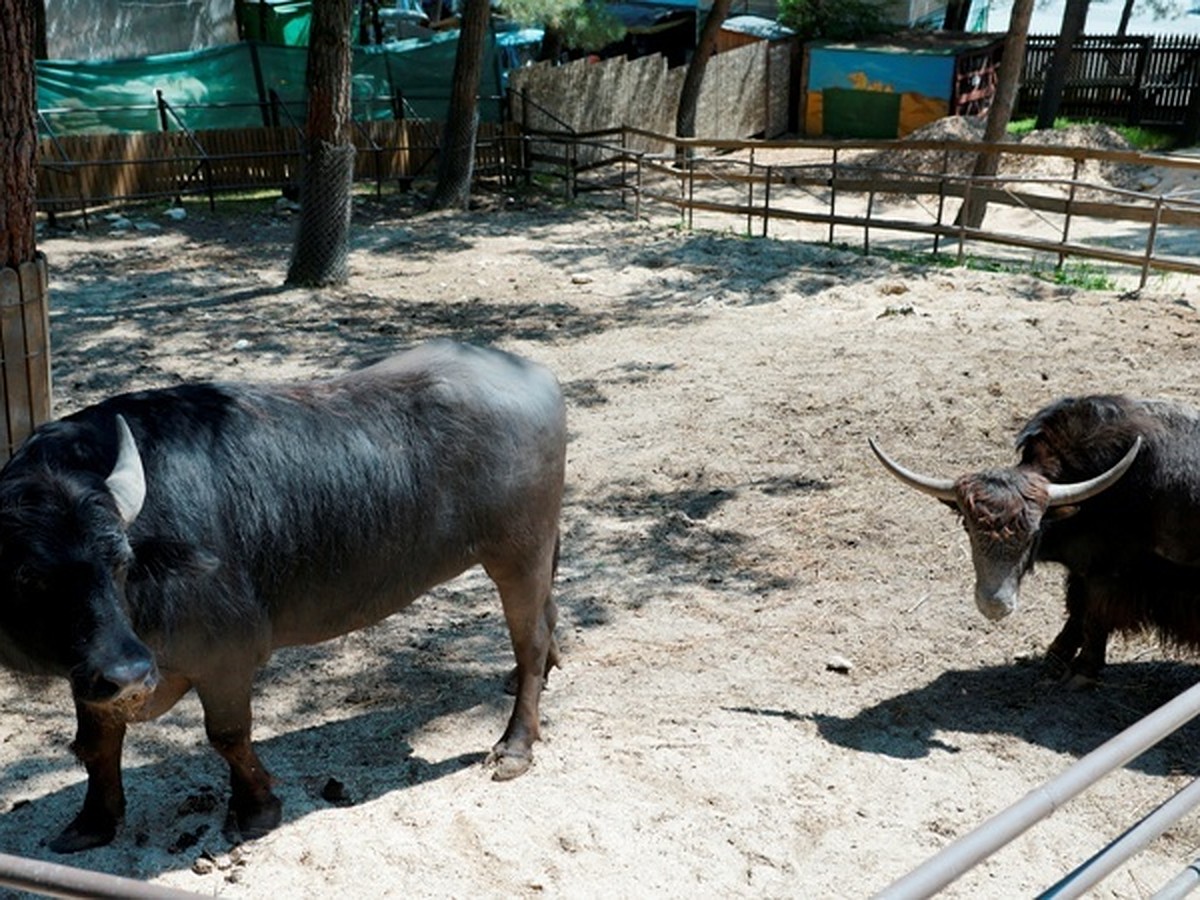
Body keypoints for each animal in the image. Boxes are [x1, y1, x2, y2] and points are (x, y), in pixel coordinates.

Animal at [0, 338, 566, 854]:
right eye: (27, 576)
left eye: (120, 562)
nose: (132, 676)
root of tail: (537, 377)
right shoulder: (90, 676)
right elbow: (96, 745)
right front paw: (92, 822)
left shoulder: (224, 656)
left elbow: (228, 735)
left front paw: (256, 810)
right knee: (548, 613)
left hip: (519, 552)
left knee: (531, 635)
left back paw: (515, 743)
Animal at [868, 398, 1200, 686]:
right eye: (967, 526)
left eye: (1034, 532)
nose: (995, 606)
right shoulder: (1083, 570)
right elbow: (1076, 609)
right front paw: (1054, 657)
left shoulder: (1109, 571)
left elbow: (1094, 616)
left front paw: (1082, 672)